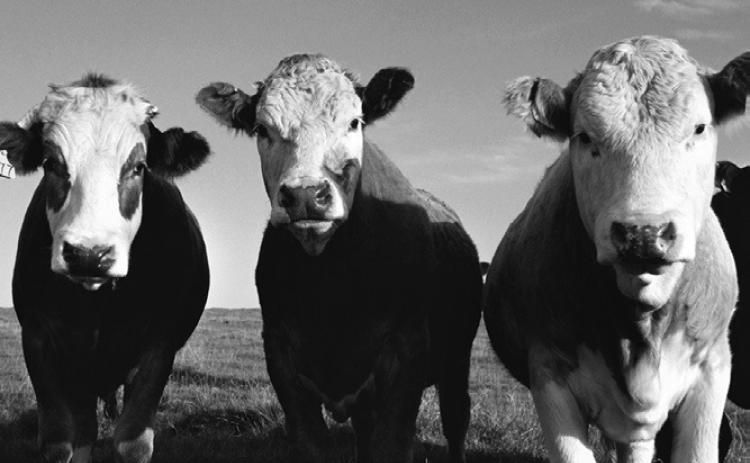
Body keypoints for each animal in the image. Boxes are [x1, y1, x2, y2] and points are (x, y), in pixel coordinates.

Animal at [0, 74, 211, 463]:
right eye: (51, 164)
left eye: (138, 167)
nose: (89, 253)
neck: (99, 304)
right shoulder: (39, 338)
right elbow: (60, 440)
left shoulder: (159, 345)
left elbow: (132, 441)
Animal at [196, 54, 482, 463]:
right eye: (262, 129)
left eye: (354, 122)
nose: (305, 195)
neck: (332, 288)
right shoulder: (281, 355)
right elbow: (313, 443)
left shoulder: (407, 351)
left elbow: (390, 446)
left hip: (458, 356)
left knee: (456, 417)